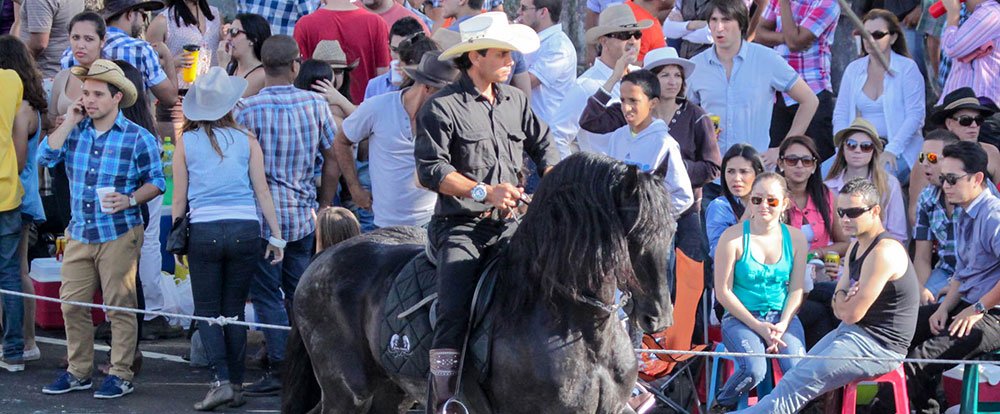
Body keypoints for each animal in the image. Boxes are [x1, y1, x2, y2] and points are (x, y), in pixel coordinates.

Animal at [282, 154, 680, 412]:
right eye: (635, 232)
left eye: (672, 227)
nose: (658, 317)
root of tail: (320, 262)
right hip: (347, 393)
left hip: (389, 390)